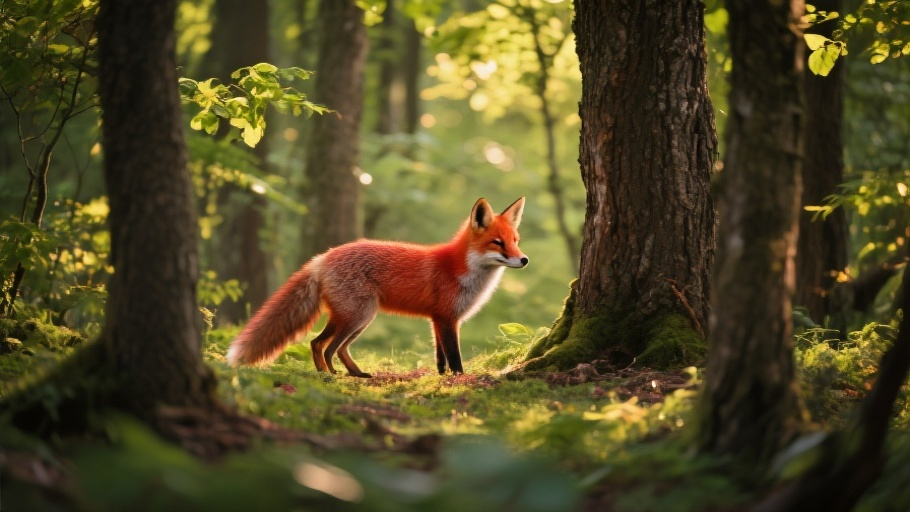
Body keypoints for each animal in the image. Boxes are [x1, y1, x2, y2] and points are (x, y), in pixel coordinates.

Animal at [226, 197, 528, 377]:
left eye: (515, 240)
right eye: (497, 243)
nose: (524, 260)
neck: (462, 268)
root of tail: (322, 257)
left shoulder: (437, 320)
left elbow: (439, 356)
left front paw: (440, 377)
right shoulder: (446, 318)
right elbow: (454, 356)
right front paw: (459, 378)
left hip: (359, 319)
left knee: (331, 346)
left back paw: (352, 373)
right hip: (356, 316)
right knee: (323, 345)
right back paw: (331, 374)